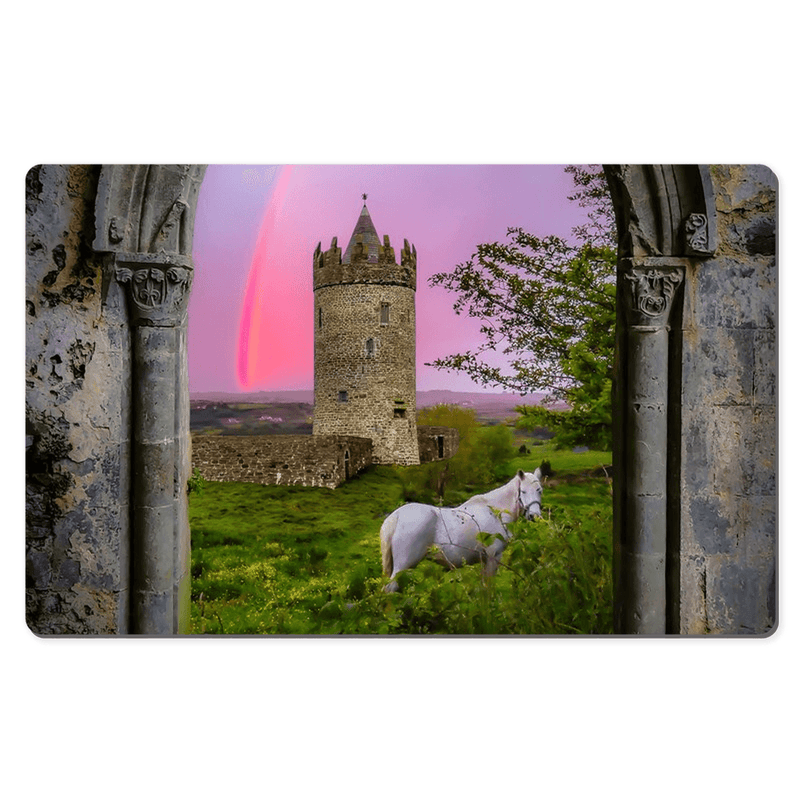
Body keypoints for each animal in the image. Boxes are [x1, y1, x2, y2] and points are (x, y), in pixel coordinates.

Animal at [380, 466, 544, 592]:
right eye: (523, 491)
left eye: (540, 490)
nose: (534, 516)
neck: (495, 511)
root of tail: (396, 516)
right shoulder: (493, 556)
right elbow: (489, 587)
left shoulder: (485, 559)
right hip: (404, 565)